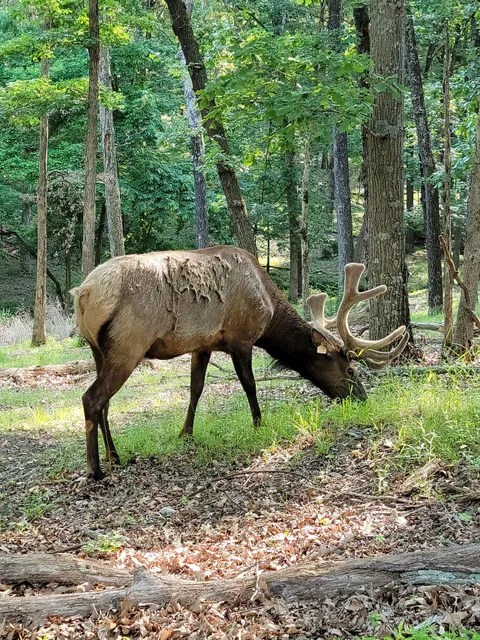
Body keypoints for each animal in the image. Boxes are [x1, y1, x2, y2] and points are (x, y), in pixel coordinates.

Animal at [72, 245, 409, 479]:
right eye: (350, 368)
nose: (362, 397)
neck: (269, 310)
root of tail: (84, 293)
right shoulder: (241, 338)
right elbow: (249, 385)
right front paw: (259, 423)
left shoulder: (202, 345)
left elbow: (196, 388)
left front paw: (186, 433)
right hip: (129, 343)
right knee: (92, 398)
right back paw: (95, 470)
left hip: (98, 349)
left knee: (105, 403)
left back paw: (114, 455)